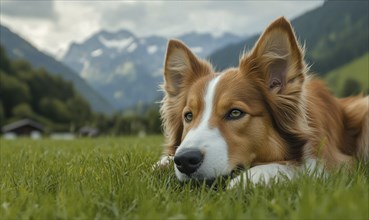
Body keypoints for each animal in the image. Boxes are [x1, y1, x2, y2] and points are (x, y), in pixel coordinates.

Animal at [155, 17, 366, 189]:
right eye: (188, 116)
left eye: (235, 112)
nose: (184, 160)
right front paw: (164, 162)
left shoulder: (334, 161)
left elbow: (303, 167)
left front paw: (251, 176)